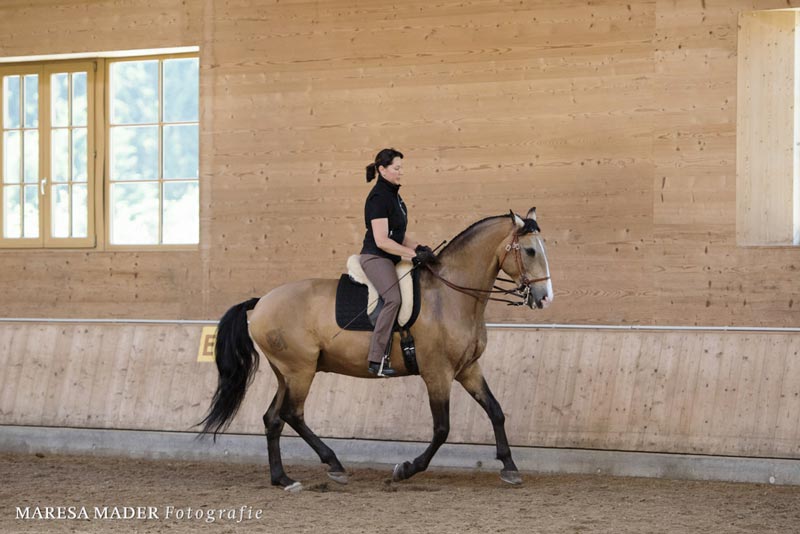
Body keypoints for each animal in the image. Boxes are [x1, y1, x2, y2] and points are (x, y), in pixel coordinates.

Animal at [199, 207, 552, 492]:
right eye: (530, 251)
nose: (545, 297)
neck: (450, 295)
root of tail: (260, 303)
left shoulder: (467, 369)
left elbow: (495, 410)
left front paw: (510, 468)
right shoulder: (437, 373)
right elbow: (442, 429)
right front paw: (406, 469)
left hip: (285, 373)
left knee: (273, 418)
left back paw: (283, 479)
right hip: (300, 371)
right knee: (292, 414)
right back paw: (334, 465)